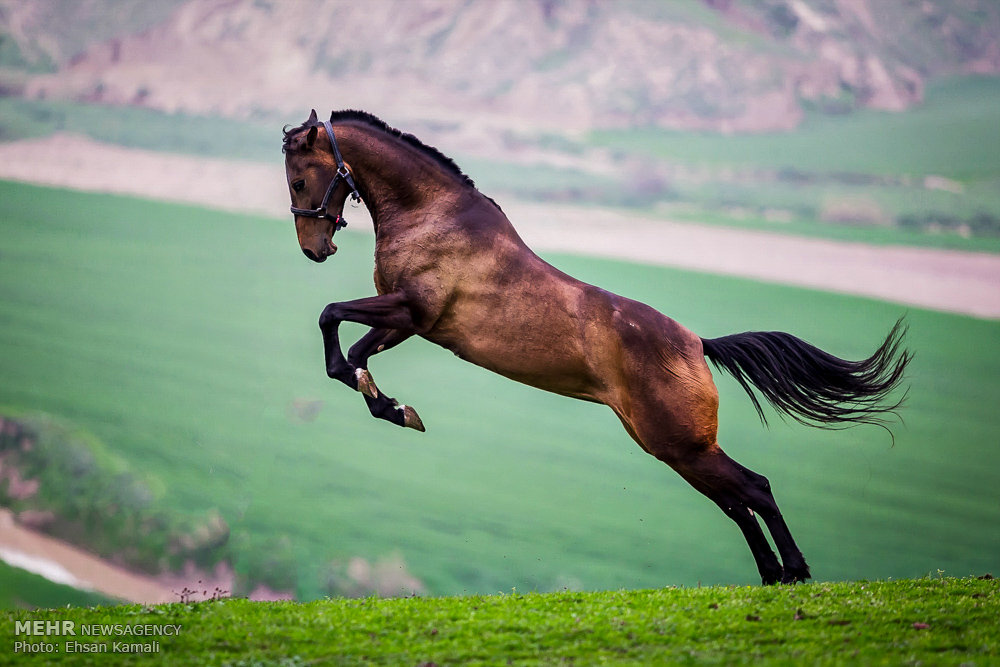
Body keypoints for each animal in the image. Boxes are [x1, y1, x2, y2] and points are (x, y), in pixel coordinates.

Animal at [282, 109, 910, 585]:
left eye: (298, 180)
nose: (314, 249)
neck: (431, 217)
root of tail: (697, 344)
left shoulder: (410, 311)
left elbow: (330, 317)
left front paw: (388, 403)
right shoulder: (408, 323)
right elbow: (354, 358)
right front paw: (393, 406)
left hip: (681, 444)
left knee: (755, 489)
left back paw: (795, 572)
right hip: (670, 447)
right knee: (736, 501)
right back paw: (772, 576)